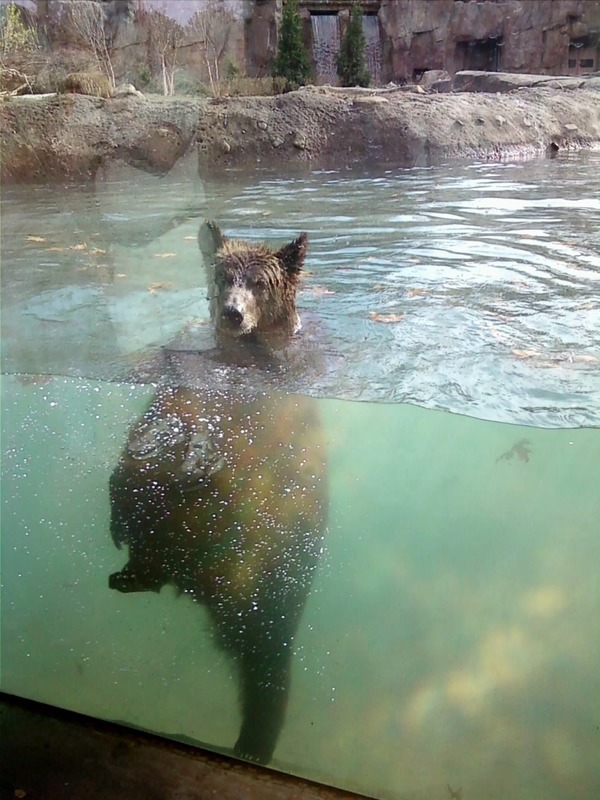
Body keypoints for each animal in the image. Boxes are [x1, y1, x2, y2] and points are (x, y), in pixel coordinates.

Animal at [110, 222, 330, 764]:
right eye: (223, 275)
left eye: (259, 283)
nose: (232, 312)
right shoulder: (180, 376)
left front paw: (195, 456)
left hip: (273, 559)